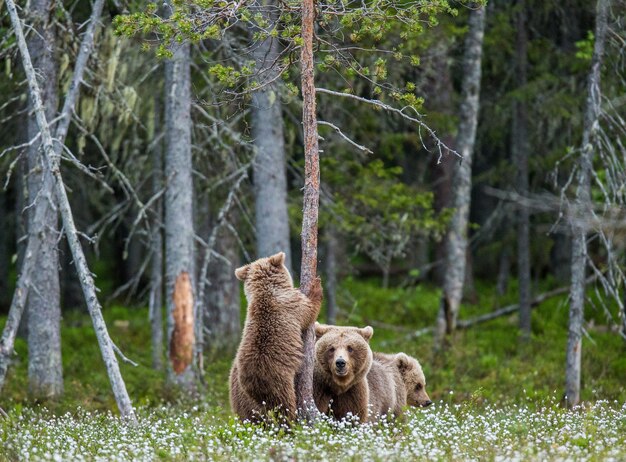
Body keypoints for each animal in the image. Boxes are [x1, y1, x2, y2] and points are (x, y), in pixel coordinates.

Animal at [228, 253, 320, 422]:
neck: (265, 291)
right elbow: (308, 310)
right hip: (277, 378)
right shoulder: (290, 305)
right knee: (284, 404)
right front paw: (316, 285)